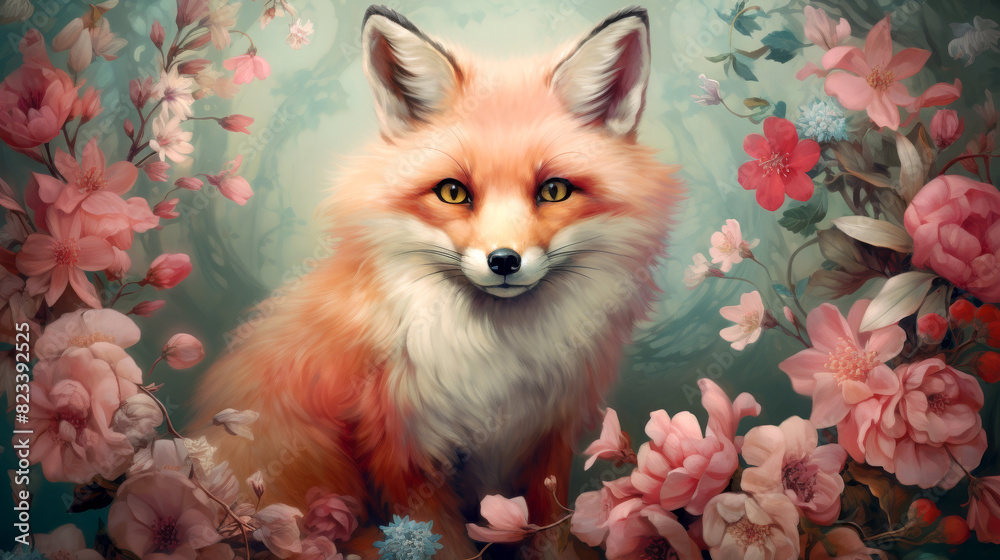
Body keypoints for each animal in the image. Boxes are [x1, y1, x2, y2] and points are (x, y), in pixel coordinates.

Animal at [193, 5, 681, 559]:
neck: (499, 364)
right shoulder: (404, 457)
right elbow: (441, 543)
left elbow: (549, 535)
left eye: (554, 190)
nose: (504, 261)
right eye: (452, 192)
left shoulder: (547, 443)